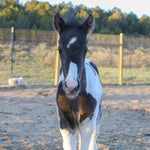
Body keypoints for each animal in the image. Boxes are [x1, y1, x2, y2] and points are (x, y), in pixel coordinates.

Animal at [53, 13, 102, 150]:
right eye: (60, 49)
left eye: (85, 49)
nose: (71, 86)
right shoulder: (66, 122)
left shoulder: (87, 122)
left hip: (97, 118)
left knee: (93, 141)